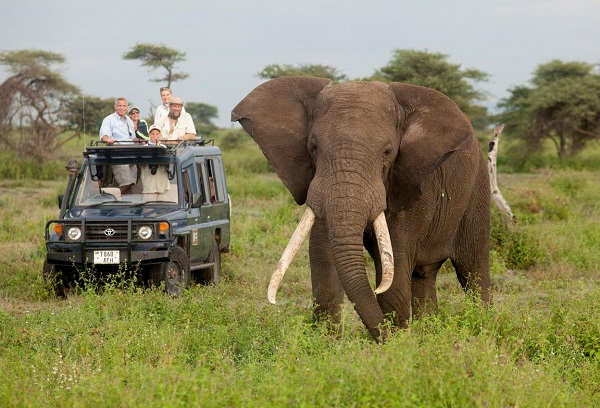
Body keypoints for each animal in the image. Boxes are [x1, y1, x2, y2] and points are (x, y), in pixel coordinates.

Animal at [232, 75, 490, 342]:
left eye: (387, 152)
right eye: (313, 147)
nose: (385, 339)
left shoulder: (410, 182)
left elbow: (395, 265)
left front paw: (397, 344)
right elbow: (323, 257)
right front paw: (329, 343)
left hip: (478, 188)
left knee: (473, 269)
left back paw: (482, 327)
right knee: (424, 275)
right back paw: (429, 334)